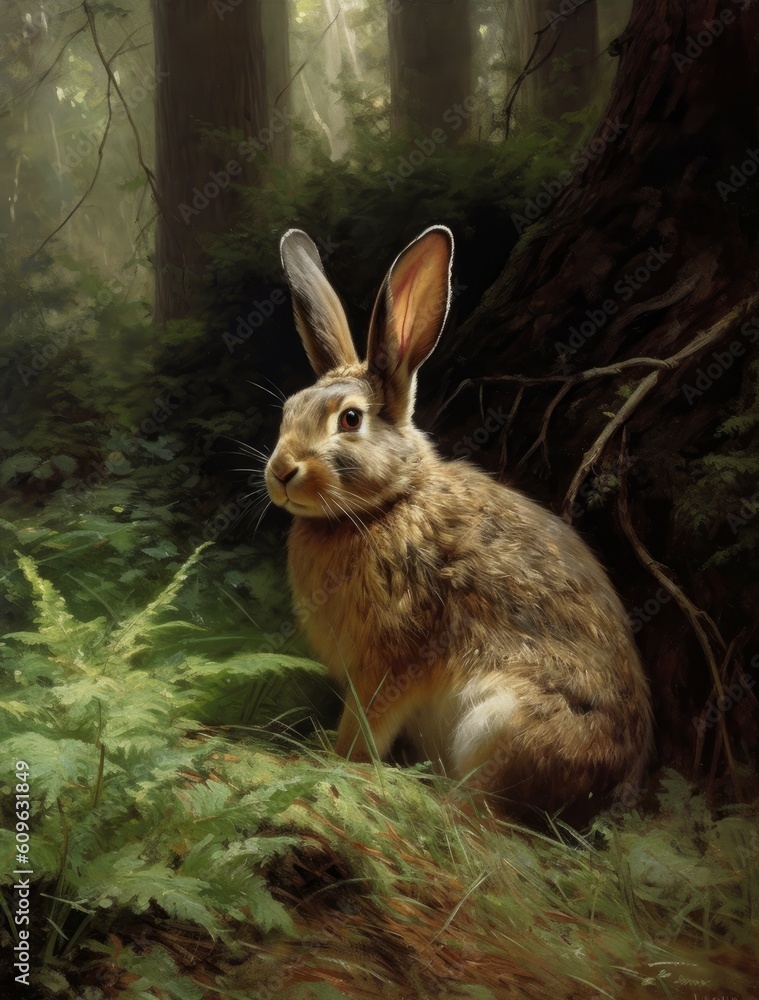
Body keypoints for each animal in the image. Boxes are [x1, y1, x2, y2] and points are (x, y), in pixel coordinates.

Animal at [265, 224, 653, 824]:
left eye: (350, 419)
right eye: (287, 411)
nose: (282, 471)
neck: (388, 504)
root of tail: (611, 797)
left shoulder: (391, 659)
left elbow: (366, 727)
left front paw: (337, 761)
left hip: (501, 723)